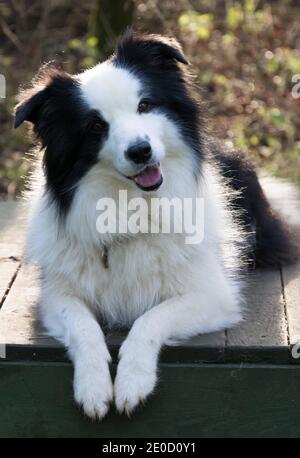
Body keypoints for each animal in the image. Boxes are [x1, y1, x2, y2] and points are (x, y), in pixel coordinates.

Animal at [14, 32, 296, 418]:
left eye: (145, 105)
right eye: (96, 126)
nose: (140, 151)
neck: (132, 207)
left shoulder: (213, 296)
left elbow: (149, 319)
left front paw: (132, 381)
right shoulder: (57, 295)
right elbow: (83, 326)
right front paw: (93, 386)